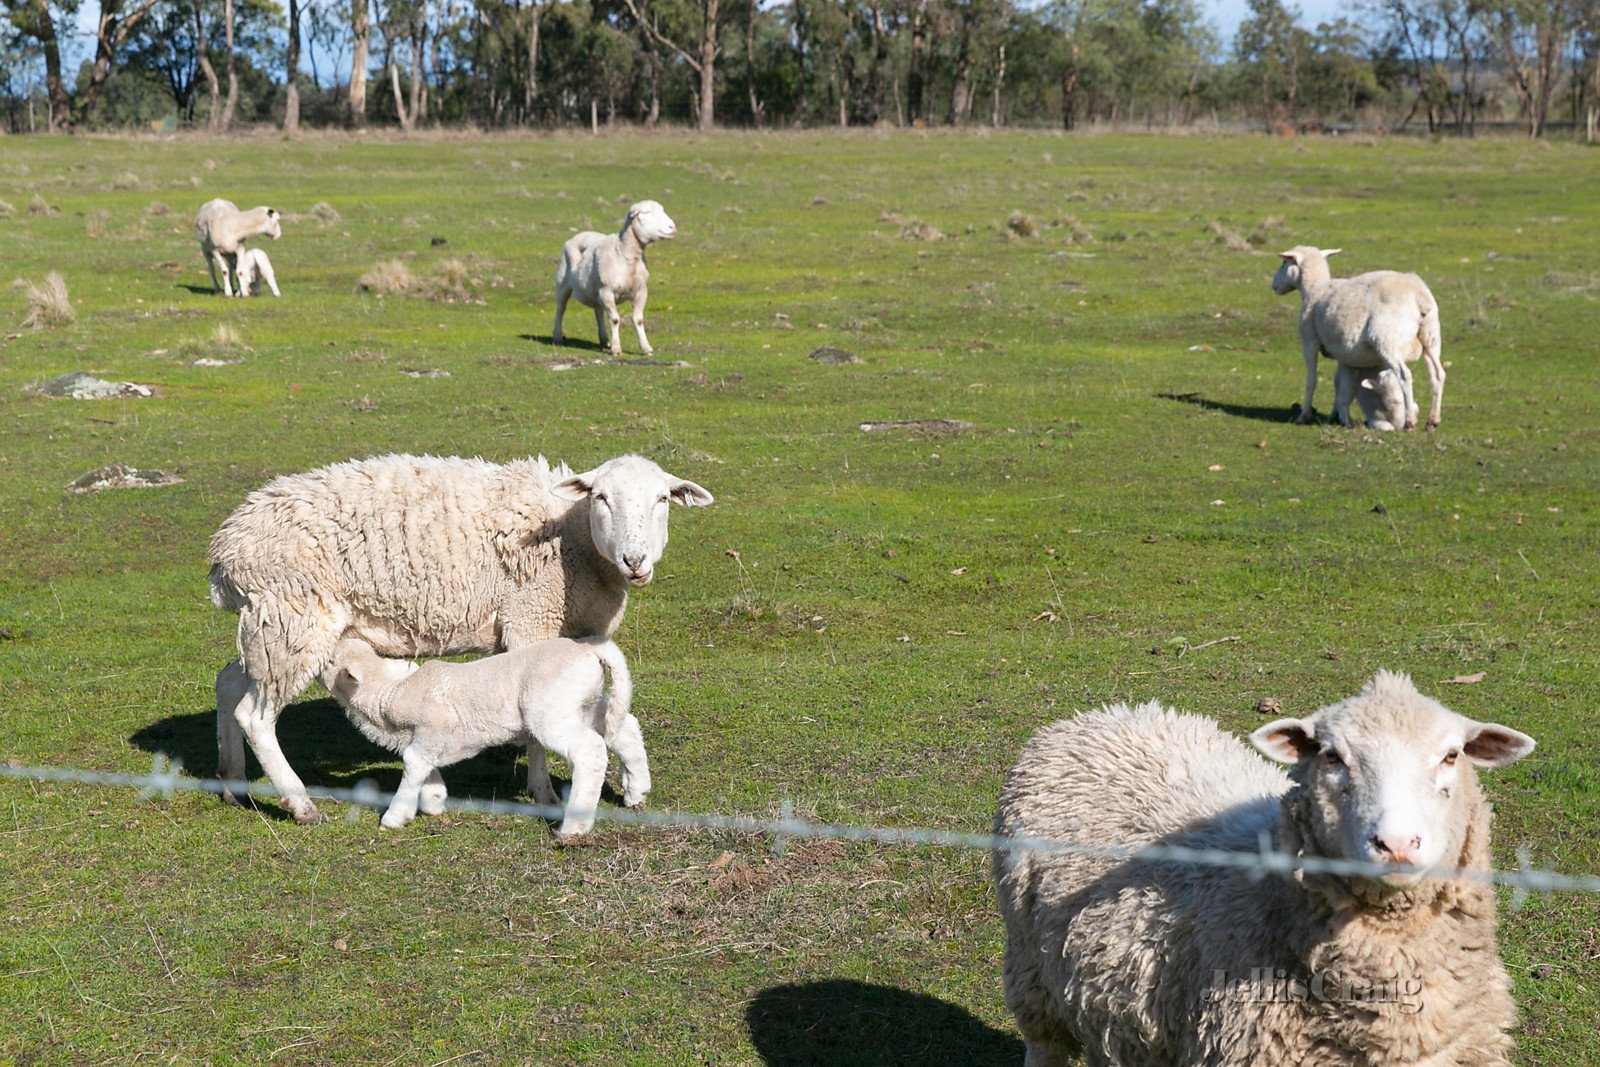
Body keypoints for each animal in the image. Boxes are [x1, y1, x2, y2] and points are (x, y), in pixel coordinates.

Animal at [321, 633, 646, 831]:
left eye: (330, 662)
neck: (391, 694)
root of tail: (588, 648)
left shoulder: (429, 731)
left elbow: (413, 765)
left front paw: (395, 816)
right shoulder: (427, 739)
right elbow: (427, 769)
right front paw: (434, 800)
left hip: (551, 711)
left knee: (590, 752)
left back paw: (574, 828)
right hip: (584, 704)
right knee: (624, 728)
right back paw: (636, 791)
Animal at [556, 195, 675, 355]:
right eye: (646, 212)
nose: (672, 227)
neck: (627, 255)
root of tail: (581, 233)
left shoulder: (641, 291)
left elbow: (638, 320)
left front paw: (646, 347)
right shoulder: (607, 290)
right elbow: (615, 320)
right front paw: (617, 348)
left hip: (596, 290)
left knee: (598, 312)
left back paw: (604, 339)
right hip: (563, 282)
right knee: (561, 308)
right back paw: (557, 336)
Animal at [998, 675, 1536, 1067]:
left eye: (1451, 755)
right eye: (1332, 756)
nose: (1397, 844)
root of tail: (1100, 715)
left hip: (1106, 999)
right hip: (1031, 975)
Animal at [1267, 247, 1446, 431]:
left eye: (1284, 263)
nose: (1273, 285)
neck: (1314, 287)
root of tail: (1419, 295)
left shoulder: (1309, 341)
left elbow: (1311, 380)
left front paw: (1303, 415)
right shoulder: (1343, 353)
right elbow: (1338, 383)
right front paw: (1335, 415)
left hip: (1387, 340)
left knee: (1405, 375)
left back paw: (1410, 421)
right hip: (1431, 338)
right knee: (1438, 375)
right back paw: (1432, 421)